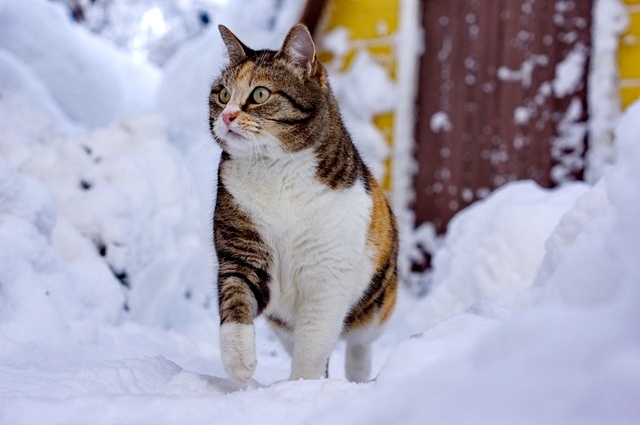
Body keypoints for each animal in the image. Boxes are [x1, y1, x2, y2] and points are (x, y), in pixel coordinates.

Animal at [210, 22, 398, 380]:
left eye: (260, 94)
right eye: (222, 94)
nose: (226, 116)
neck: (277, 173)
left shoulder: (328, 277)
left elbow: (313, 346)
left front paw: (302, 386)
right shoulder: (241, 250)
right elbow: (236, 297)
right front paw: (239, 362)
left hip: (377, 301)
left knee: (360, 340)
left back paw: (357, 375)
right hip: (282, 322)